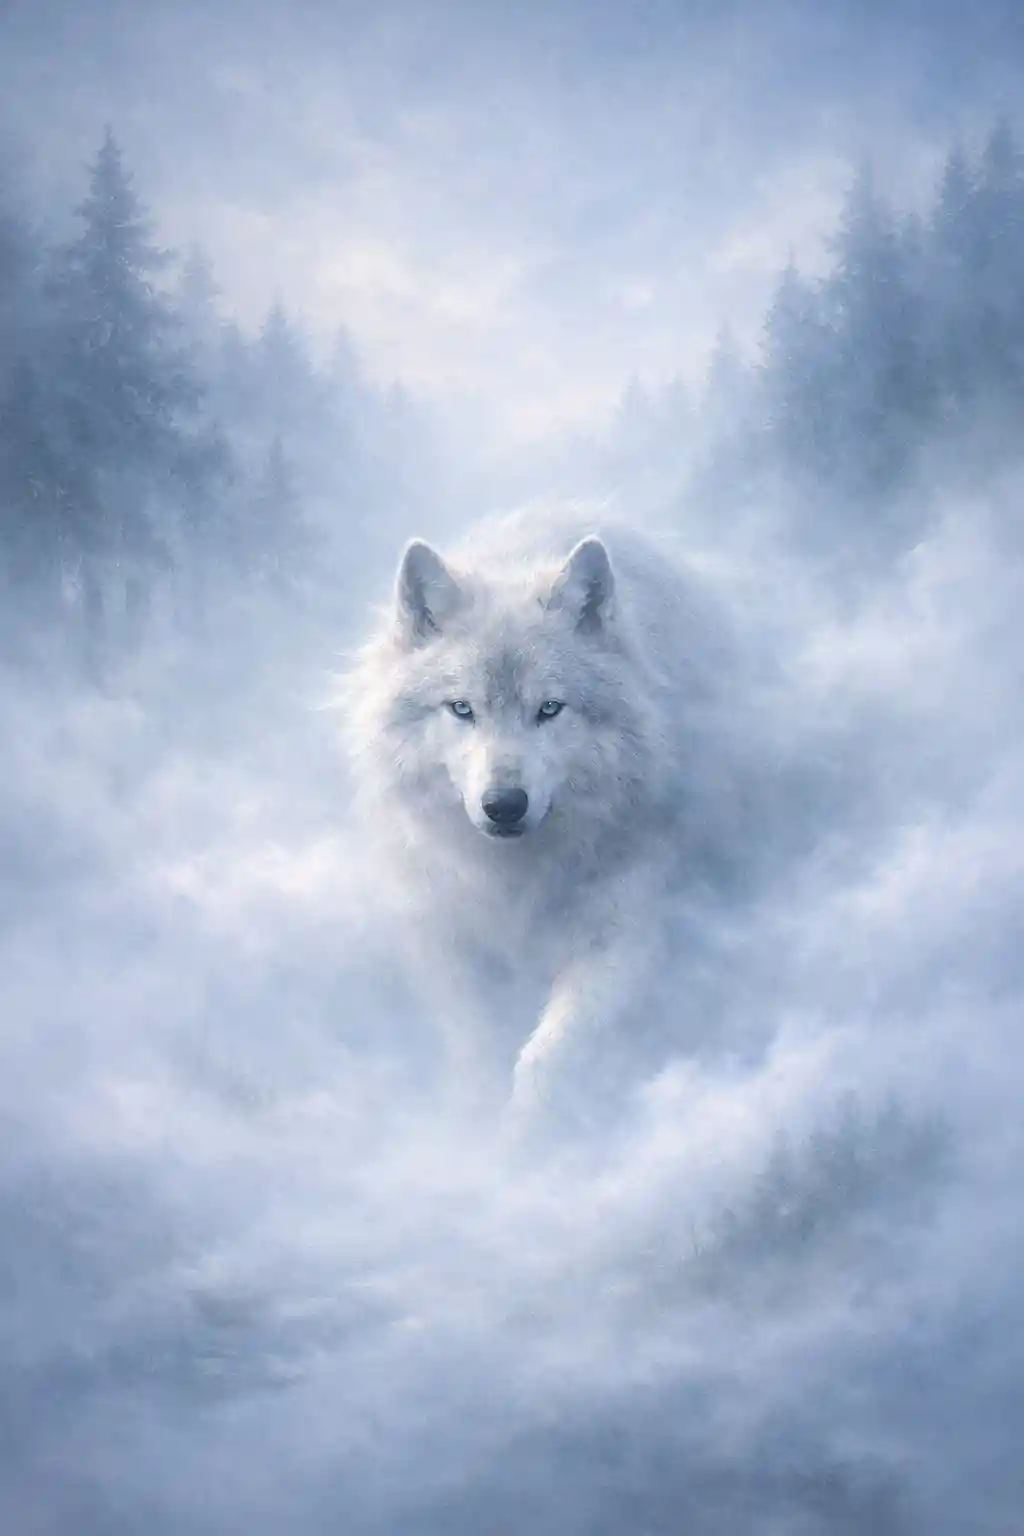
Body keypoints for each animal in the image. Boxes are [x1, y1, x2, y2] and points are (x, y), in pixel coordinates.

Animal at [342, 507, 740, 1124]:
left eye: (549, 708)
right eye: (462, 708)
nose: (504, 805)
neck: (515, 880)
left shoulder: (619, 932)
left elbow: (548, 1057)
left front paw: (534, 1132)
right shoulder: (445, 939)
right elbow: (477, 1043)